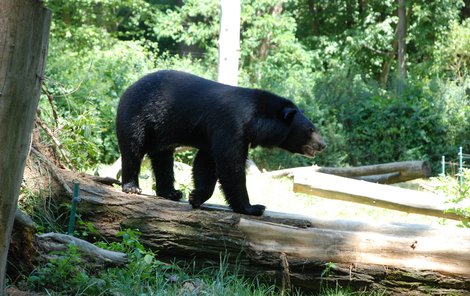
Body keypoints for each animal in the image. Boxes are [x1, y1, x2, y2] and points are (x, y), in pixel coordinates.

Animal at [115, 70, 324, 216]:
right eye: (311, 129)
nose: (323, 145)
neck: (255, 121)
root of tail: (128, 88)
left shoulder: (219, 134)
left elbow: (206, 163)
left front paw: (196, 196)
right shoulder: (231, 125)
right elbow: (230, 165)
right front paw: (253, 207)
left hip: (161, 132)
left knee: (163, 159)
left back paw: (171, 192)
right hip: (137, 116)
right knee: (133, 150)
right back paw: (132, 187)